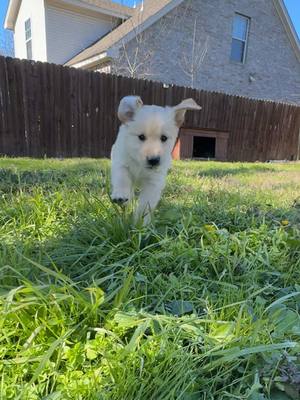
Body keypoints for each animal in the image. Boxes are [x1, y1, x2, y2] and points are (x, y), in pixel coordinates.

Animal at [110, 95, 202, 223]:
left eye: (164, 138)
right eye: (141, 137)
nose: (154, 160)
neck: (140, 165)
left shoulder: (154, 181)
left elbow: (145, 204)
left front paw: (141, 223)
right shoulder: (121, 161)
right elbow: (122, 178)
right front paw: (121, 195)